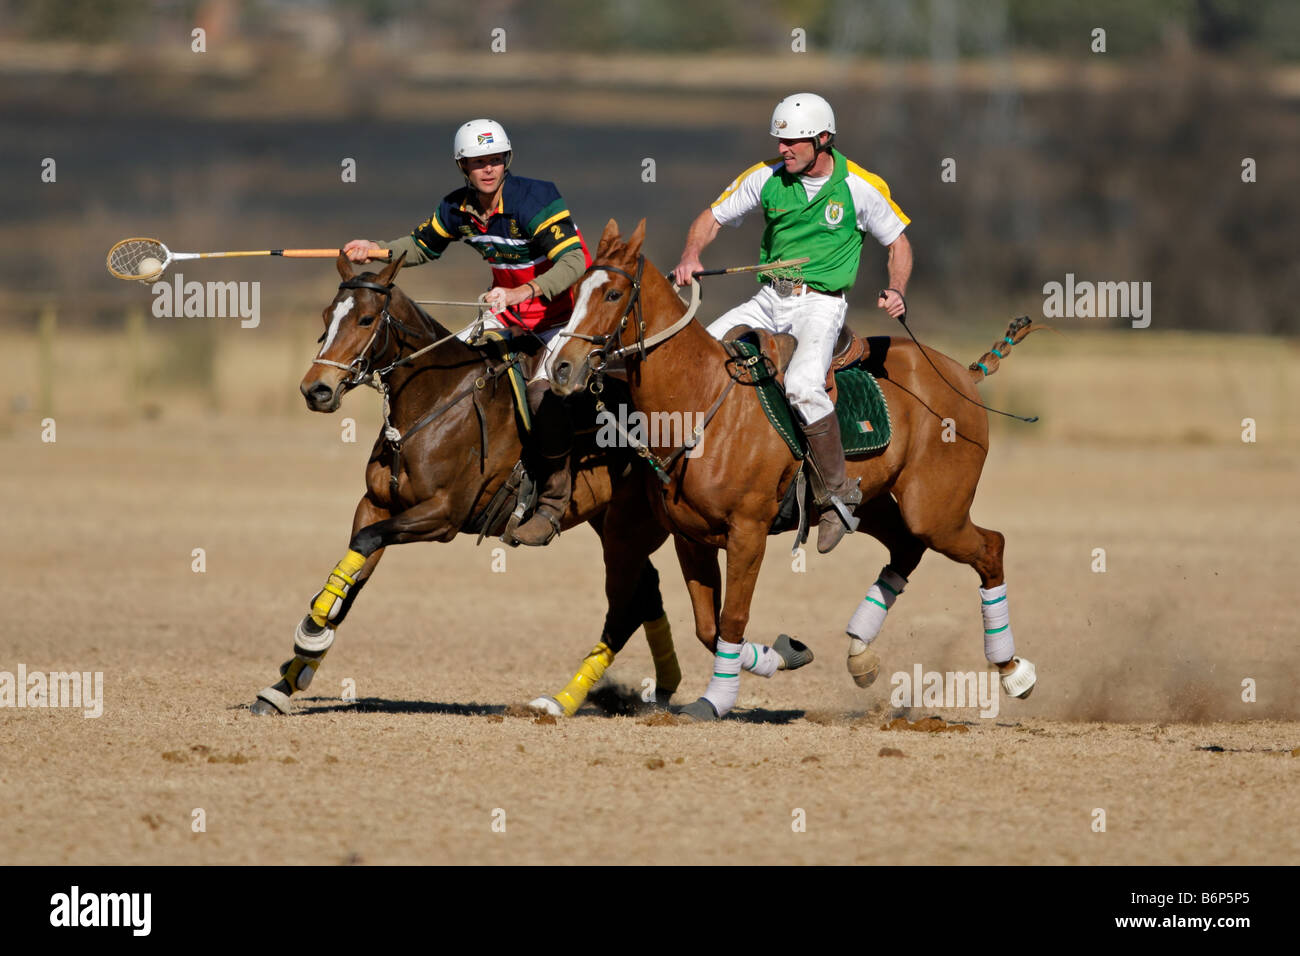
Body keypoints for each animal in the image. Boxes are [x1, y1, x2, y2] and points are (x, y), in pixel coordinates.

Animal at [248, 254, 686, 717]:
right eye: (326, 316)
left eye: (366, 319)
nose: (316, 389)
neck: (432, 402)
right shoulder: (375, 503)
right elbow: (352, 571)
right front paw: (288, 679)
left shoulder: (442, 516)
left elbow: (364, 545)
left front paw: (311, 632)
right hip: (611, 524)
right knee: (647, 591)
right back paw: (662, 687)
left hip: (627, 527)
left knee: (626, 606)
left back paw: (564, 700)